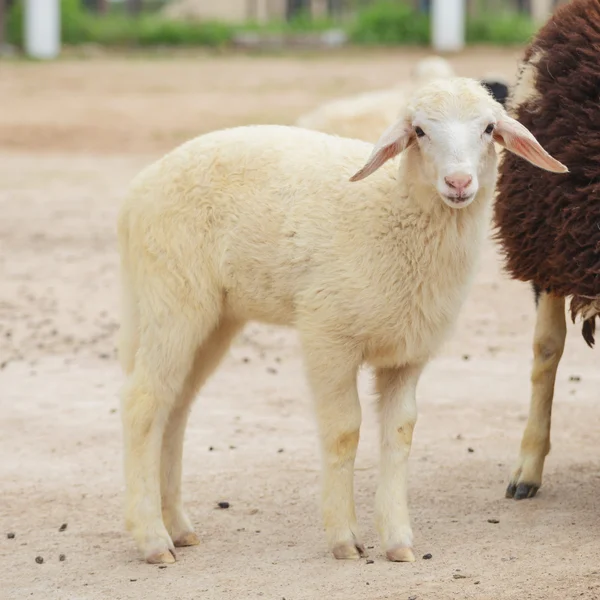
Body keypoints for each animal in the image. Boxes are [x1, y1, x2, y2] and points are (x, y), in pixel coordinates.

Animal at [117, 77, 568, 564]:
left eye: (488, 128)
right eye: (420, 131)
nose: (459, 182)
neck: (394, 212)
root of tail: (137, 191)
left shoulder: (408, 352)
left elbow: (400, 434)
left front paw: (398, 540)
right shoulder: (327, 334)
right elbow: (344, 432)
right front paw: (345, 539)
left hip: (215, 317)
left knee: (175, 407)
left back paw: (179, 527)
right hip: (173, 299)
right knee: (144, 404)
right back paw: (153, 539)